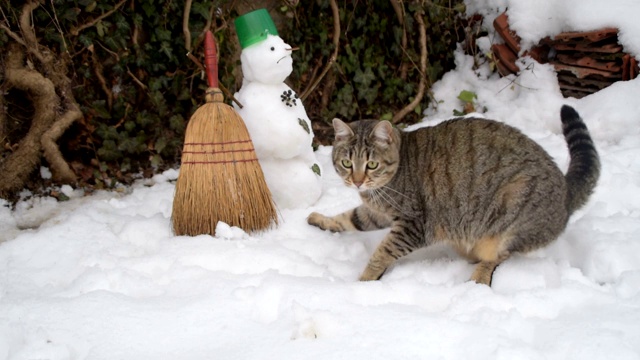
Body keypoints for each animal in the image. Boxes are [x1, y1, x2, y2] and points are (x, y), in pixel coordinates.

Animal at [308, 105, 600, 286]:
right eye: (347, 163)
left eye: (371, 164)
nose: (357, 181)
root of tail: (566, 189)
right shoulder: (377, 213)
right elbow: (350, 219)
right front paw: (322, 220)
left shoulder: (413, 225)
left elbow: (382, 251)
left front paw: (364, 281)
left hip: (512, 215)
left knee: (497, 258)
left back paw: (478, 278)